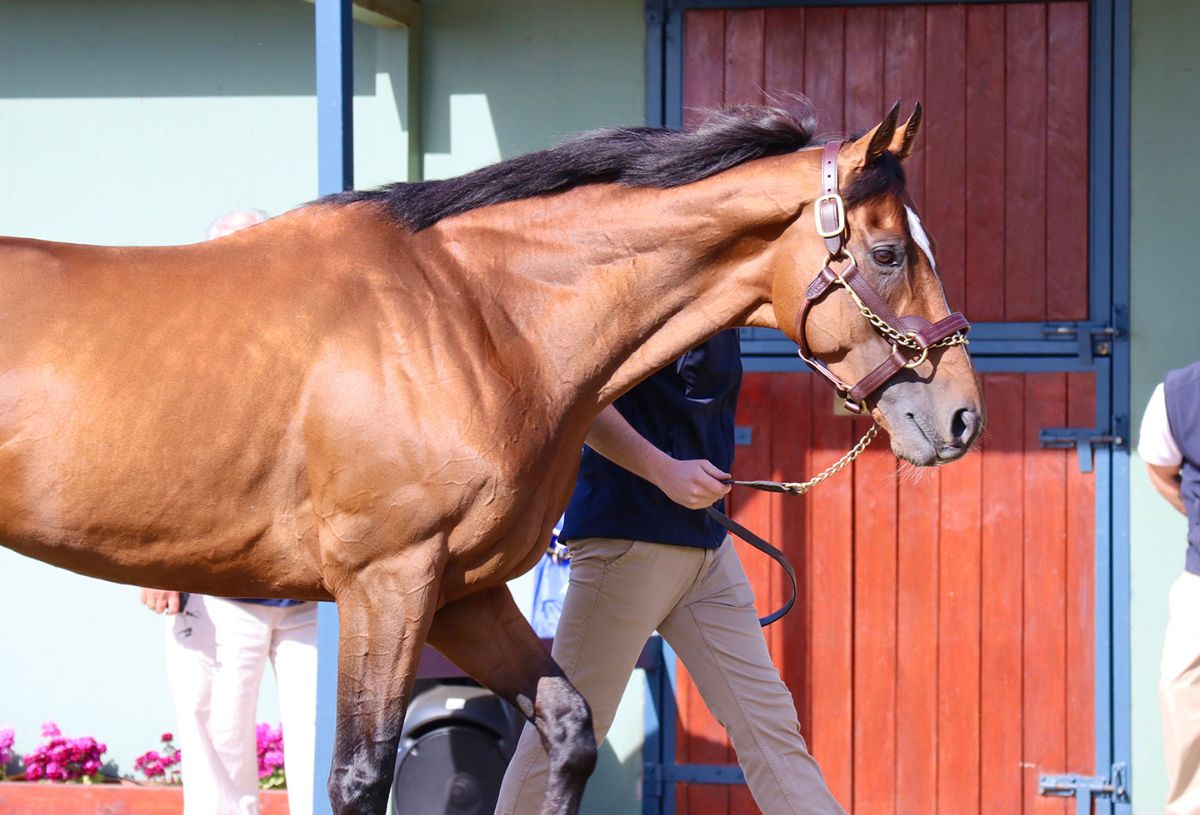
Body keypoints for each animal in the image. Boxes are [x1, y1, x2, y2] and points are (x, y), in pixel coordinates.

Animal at [0, 100, 982, 814]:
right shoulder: (387, 583)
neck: (475, 314)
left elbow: (568, 725)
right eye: (889, 252)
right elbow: (359, 777)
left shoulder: (461, 592)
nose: (963, 416)